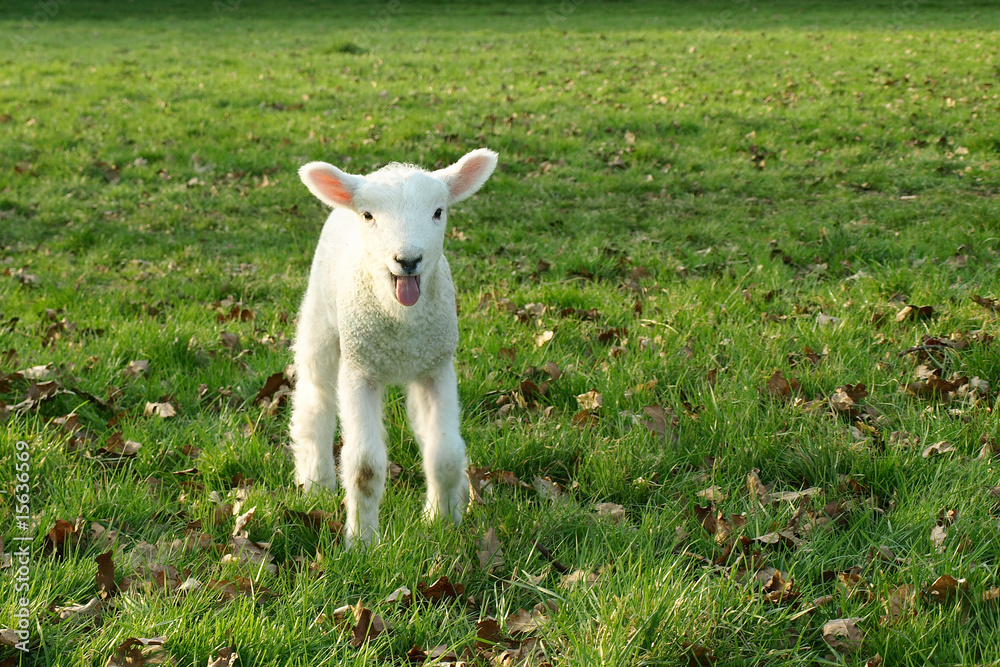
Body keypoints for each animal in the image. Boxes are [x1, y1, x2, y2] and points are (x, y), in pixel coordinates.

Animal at [289, 148, 498, 547]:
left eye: (438, 212)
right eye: (369, 215)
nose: (408, 260)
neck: (401, 323)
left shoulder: (437, 367)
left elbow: (445, 455)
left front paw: (442, 522)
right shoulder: (359, 371)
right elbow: (365, 469)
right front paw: (362, 544)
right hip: (322, 321)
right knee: (315, 400)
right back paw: (316, 482)